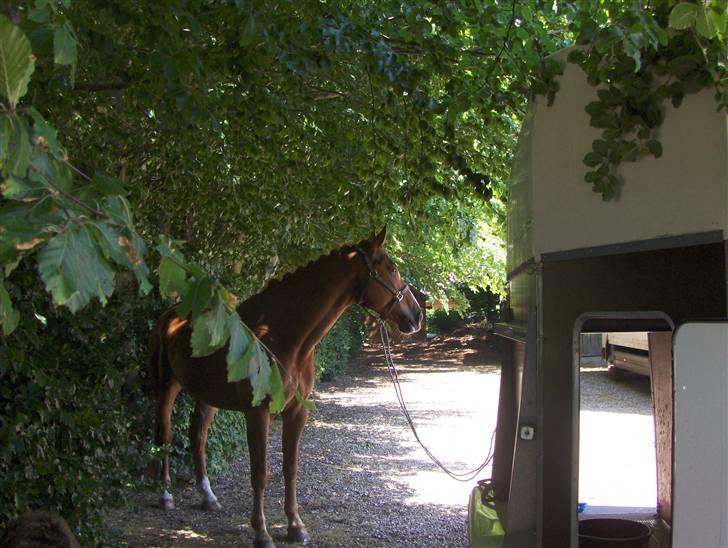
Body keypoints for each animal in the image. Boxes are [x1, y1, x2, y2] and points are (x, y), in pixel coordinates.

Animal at [146, 228, 420, 548]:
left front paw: (295, 526)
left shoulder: (297, 412)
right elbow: (260, 472)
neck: (286, 337)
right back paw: (165, 495)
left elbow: (290, 468)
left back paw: (208, 497)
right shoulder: (258, 413)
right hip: (167, 385)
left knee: (198, 434)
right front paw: (261, 533)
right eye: (392, 269)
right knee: (165, 433)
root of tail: (170, 315)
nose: (417, 315)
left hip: (205, 394)